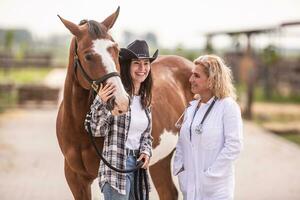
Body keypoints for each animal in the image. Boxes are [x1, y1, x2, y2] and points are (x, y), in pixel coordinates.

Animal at [55, 7, 195, 199]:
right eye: (88, 56)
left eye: (115, 49)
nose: (121, 101)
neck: (80, 129)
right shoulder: (75, 179)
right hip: (159, 160)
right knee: (168, 191)